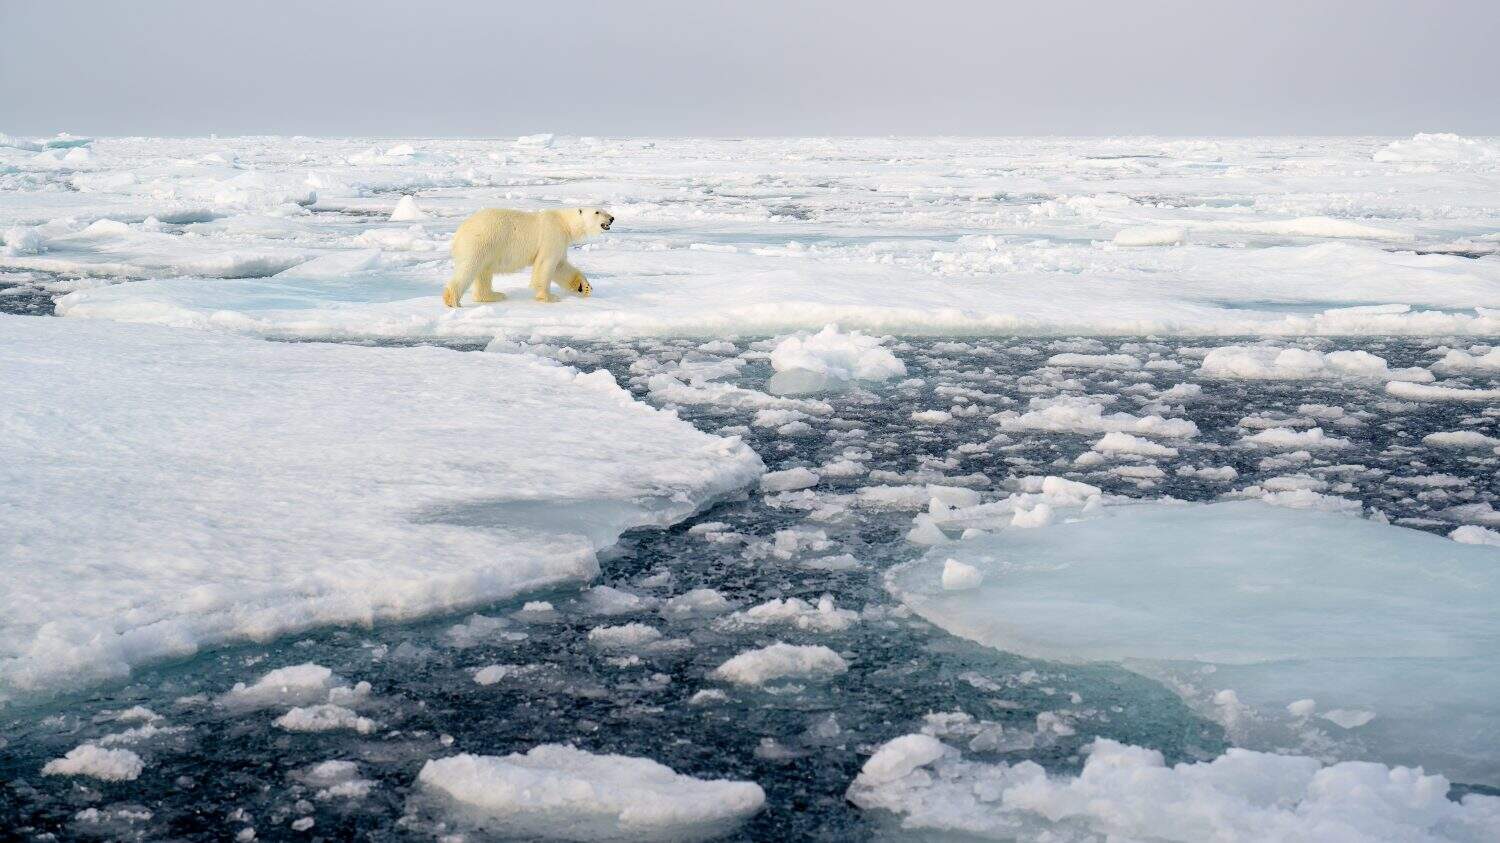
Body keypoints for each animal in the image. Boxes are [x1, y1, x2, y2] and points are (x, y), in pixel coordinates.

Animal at [442, 207, 613, 307]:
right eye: (597, 212)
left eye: (604, 208)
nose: (612, 218)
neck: (564, 223)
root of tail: (459, 231)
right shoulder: (552, 235)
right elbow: (546, 264)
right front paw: (549, 297)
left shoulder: (561, 242)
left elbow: (560, 266)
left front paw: (584, 287)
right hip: (481, 241)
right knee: (469, 268)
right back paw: (452, 300)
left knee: (484, 271)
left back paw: (493, 295)